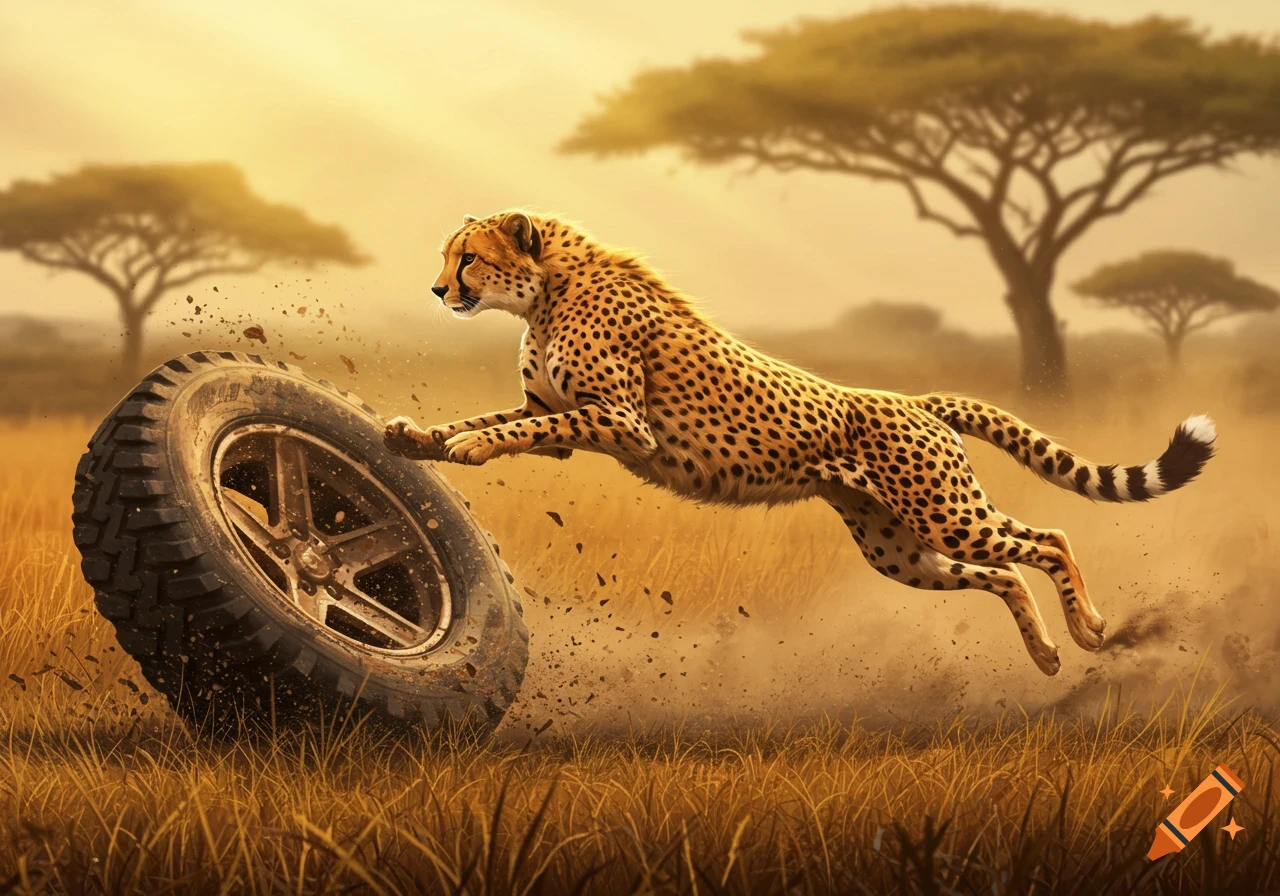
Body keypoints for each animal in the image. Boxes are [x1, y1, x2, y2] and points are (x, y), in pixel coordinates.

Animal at [384, 210, 1216, 675]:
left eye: (468, 257)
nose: (437, 290)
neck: (548, 292)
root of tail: (909, 398)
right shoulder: (560, 414)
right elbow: (487, 420)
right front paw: (420, 436)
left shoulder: (620, 422)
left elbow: (518, 428)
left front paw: (463, 450)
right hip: (901, 548)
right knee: (1006, 571)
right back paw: (1044, 653)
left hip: (946, 514)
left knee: (1048, 538)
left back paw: (1089, 628)